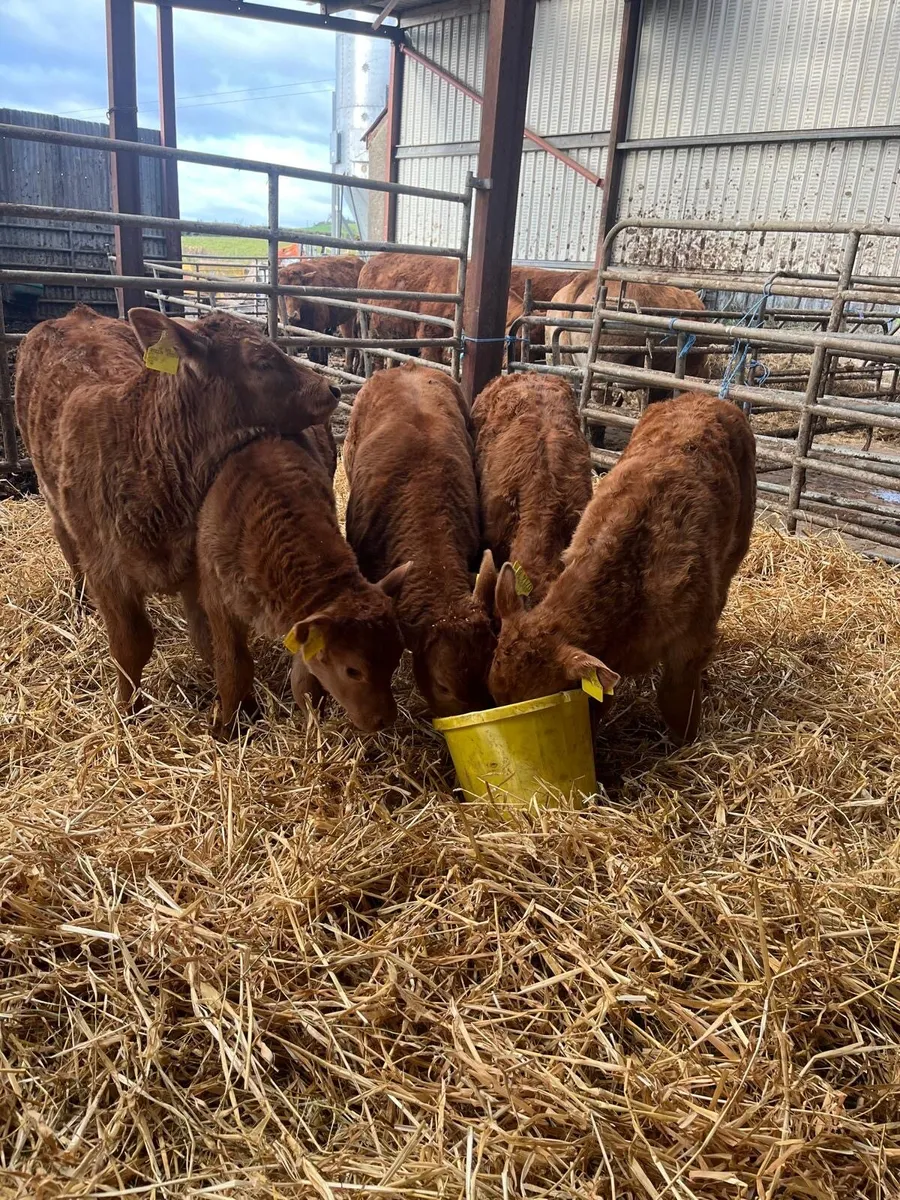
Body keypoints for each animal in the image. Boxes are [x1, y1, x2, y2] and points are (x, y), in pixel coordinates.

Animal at [14, 305, 340, 709]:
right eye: (261, 359)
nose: (332, 388)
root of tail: (76, 314)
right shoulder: (106, 570)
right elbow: (130, 646)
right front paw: (127, 708)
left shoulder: (197, 566)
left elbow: (213, 643)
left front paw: (243, 707)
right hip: (52, 498)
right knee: (66, 543)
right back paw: (78, 601)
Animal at [195, 436, 409, 735]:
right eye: (352, 670)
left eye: (396, 659)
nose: (385, 720)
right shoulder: (217, 597)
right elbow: (232, 667)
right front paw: (227, 728)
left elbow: (305, 680)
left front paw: (313, 724)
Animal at [488, 393, 756, 743]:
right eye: (495, 698)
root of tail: (706, 396)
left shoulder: (690, 643)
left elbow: (676, 703)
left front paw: (687, 745)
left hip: (736, 547)